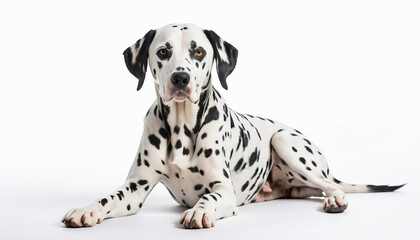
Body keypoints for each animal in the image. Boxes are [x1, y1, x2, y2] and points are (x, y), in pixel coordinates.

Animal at [61, 23, 404, 229]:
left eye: (199, 51)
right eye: (163, 52)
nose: (180, 78)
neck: (182, 129)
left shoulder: (223, 189)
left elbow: (210, 197)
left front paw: (199, 210)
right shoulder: (135, 188)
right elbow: (109, 198)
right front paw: (86, 210)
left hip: (285, 142)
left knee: (331, 185)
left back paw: (335, 200)